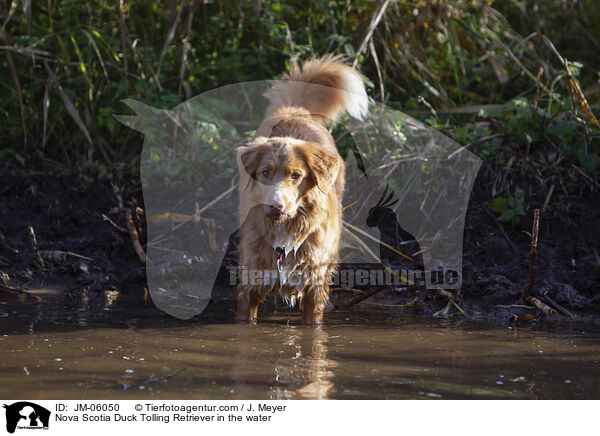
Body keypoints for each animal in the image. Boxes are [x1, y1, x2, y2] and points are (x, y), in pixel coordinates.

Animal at [236, 55, 368, 324]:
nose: (275, 205)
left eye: (296, 176)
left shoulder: (314, 289)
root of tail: (294, 112)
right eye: (265, 172)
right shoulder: (250, 285)